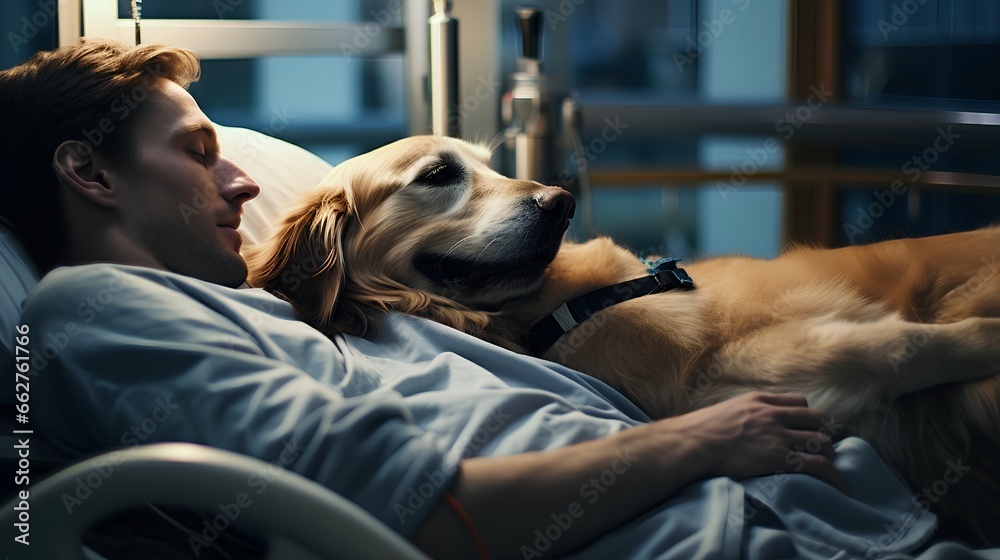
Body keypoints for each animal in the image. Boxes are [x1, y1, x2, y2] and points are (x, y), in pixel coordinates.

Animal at [246, 136, 996, 548]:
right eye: (437, 175)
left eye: (493, 167)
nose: (561, 202)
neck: (564, 307)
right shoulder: (746, 374)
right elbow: (904, 348)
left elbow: (911, 343)